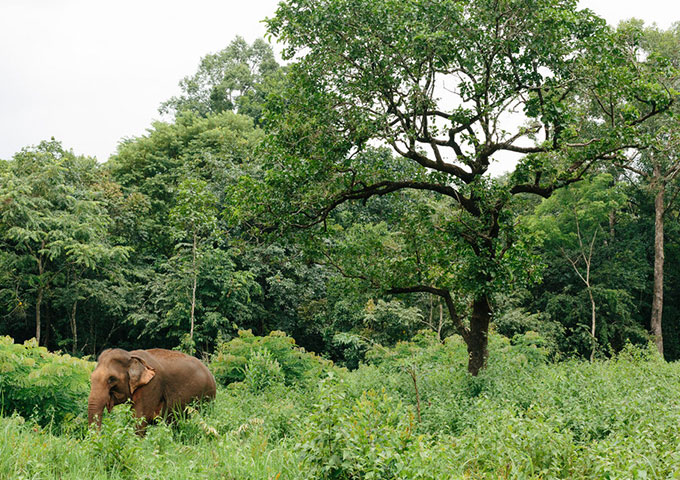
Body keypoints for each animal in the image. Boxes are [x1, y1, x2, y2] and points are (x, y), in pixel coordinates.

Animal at [87, 346, 215, 430]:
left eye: (112, 379)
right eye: (91, 378)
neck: (131, 355)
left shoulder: (152, 385)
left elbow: (141, 417)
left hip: (206, 397)